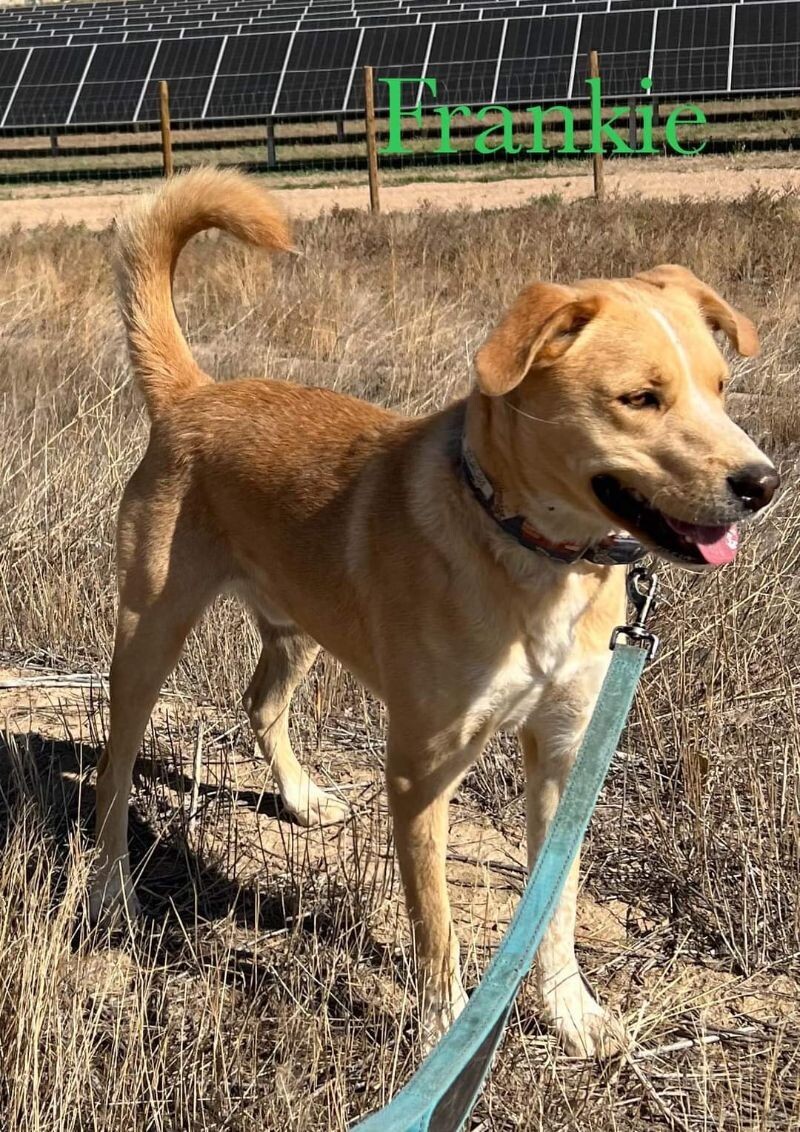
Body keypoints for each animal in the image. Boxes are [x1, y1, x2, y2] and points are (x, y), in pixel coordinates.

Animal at [90, 169, 778, 1059]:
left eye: (721, 388)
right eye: (640, 398)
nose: (763, 484)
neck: (533, 556)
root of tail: (195, 394)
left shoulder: (563, 751)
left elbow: (554, 908)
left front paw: (571, 1011)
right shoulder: (423, 770)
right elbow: (437, 922)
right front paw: (443, 1030)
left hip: (297, 623)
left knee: (260, 701)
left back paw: (301, 798)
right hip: (149, 634)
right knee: (114, 770)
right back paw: (109, 890)